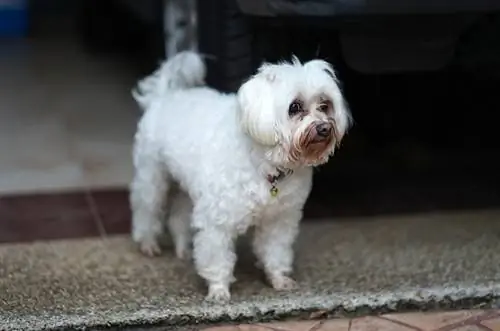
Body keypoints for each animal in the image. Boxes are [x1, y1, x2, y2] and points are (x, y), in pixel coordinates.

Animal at [131, 50, 354, 302]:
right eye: (295, 107)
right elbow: (217, 257)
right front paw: (218, 289)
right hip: (152, 177)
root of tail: (165, 96)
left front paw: (278, 278)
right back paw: (147, 243)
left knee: (178, 215)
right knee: (146, 209)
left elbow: (275, 251)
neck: (268, 163)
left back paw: (183, 248)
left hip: (188, 190)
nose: (325, 128)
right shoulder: (216, 222)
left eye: (325, 105)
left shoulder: (279, 220)